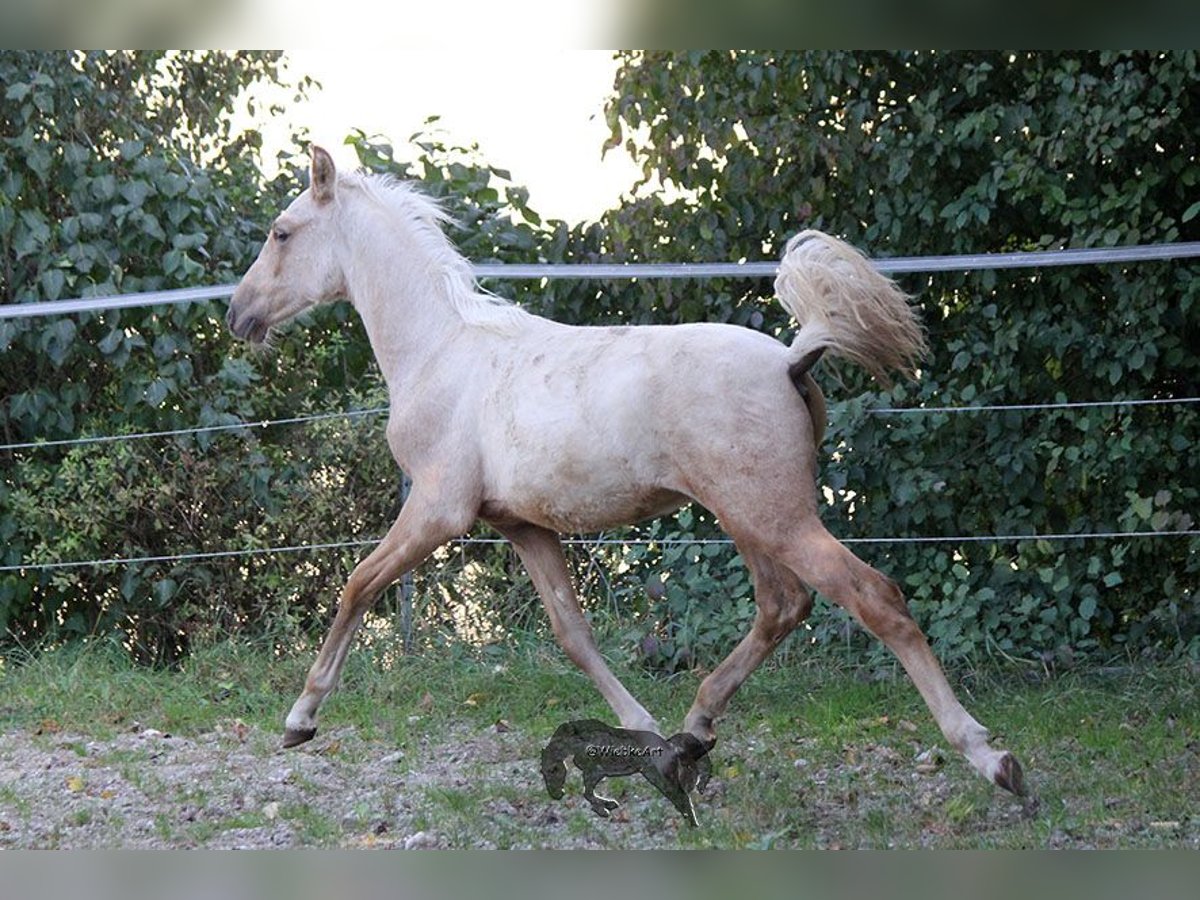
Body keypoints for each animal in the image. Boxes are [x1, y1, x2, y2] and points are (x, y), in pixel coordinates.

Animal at [229, 148, 1027, 801]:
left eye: (281, 232)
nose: (238, 315)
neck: (442, 350)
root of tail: (792, 357)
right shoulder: (522, 526)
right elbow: (573, 633)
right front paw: (639, 728)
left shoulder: (436, 509)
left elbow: (357, 586)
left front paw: (299, 719)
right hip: (750, 516)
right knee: (783, 606)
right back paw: (694, 730)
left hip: (776, 515)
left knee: (872, 598)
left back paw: (992, 759)